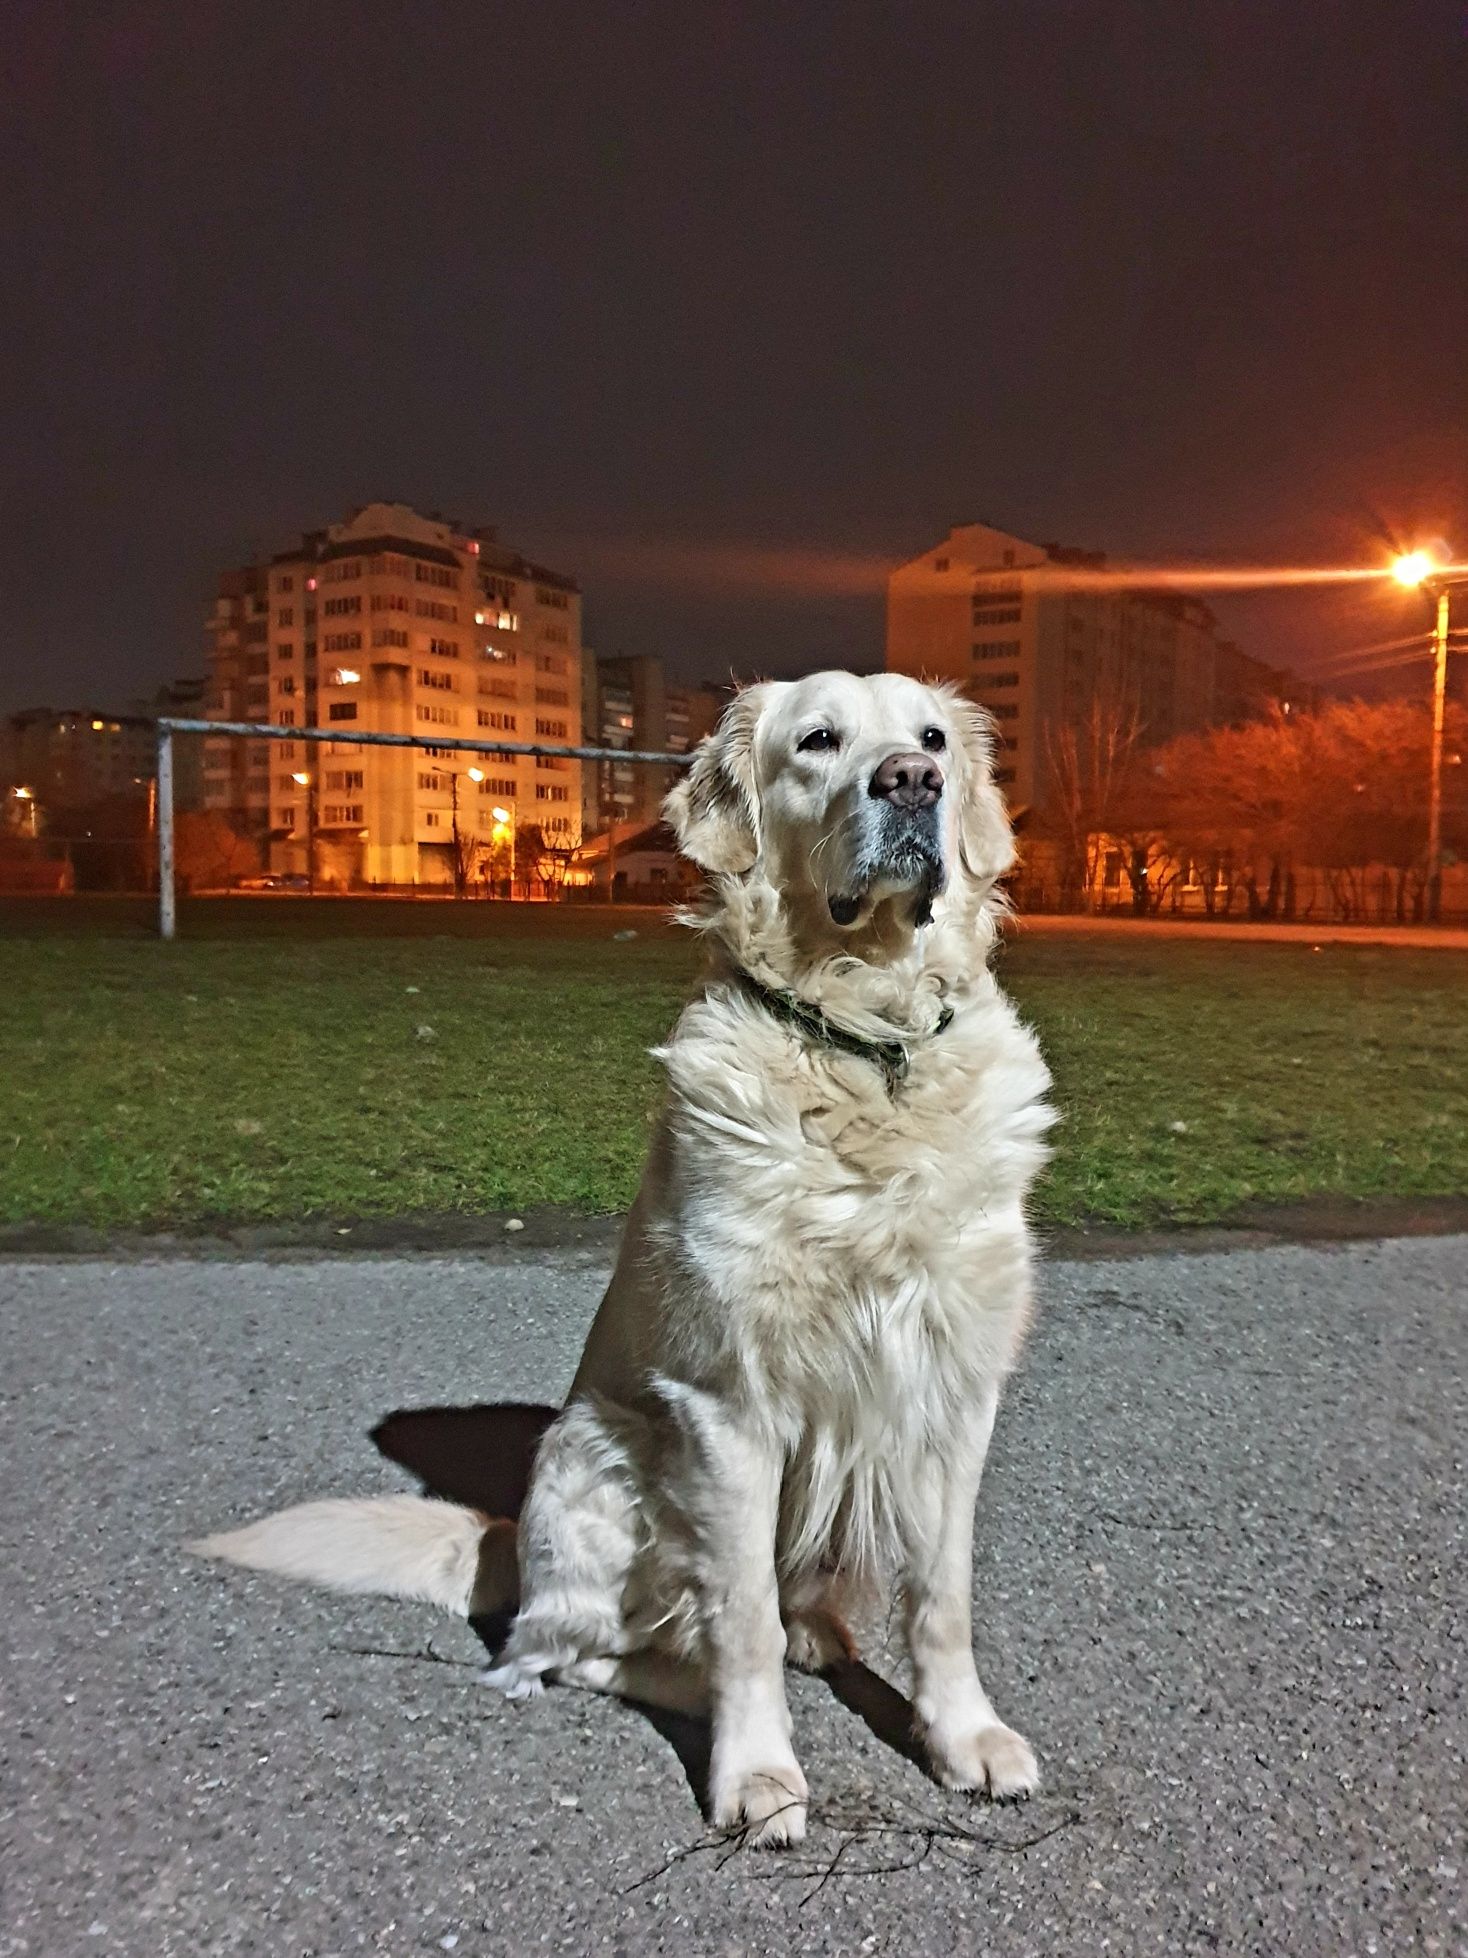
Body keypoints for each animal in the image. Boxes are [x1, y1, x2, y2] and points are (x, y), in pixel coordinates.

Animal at [192, 673, 1056, 1848]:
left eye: (931, 739)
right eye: (817, 740)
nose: (913, 782)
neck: (866, 1049)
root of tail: (509, 1538)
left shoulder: (954, 1389)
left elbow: (942, 1594)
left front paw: (961, 1734)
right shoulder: (728, 1405)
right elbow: (739, 1617)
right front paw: (758, 1770)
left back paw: (822, 1639)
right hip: (610, 1464)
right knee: (574, 1652)